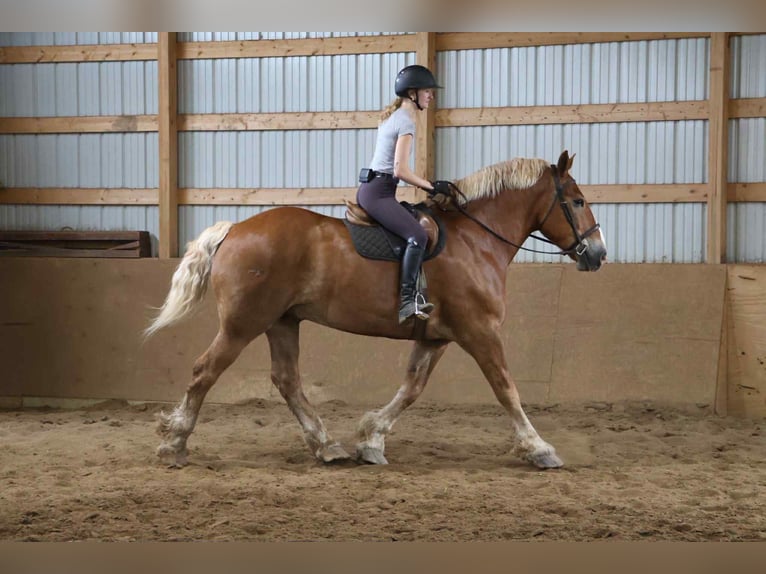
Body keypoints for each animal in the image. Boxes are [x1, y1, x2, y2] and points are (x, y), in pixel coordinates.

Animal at [144, 150, 606, 470]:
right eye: (578, 201)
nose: (598, 254)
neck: (477, 240)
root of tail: (235, 229)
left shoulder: (437, 337)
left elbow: (412, 388)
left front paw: (371, 439)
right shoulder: (480, 331)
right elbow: (506, 389)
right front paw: (540, 448)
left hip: (282, 321)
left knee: (287, 380)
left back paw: (327, 446)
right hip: (244, 323)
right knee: (205, 371)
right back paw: (174, 444)